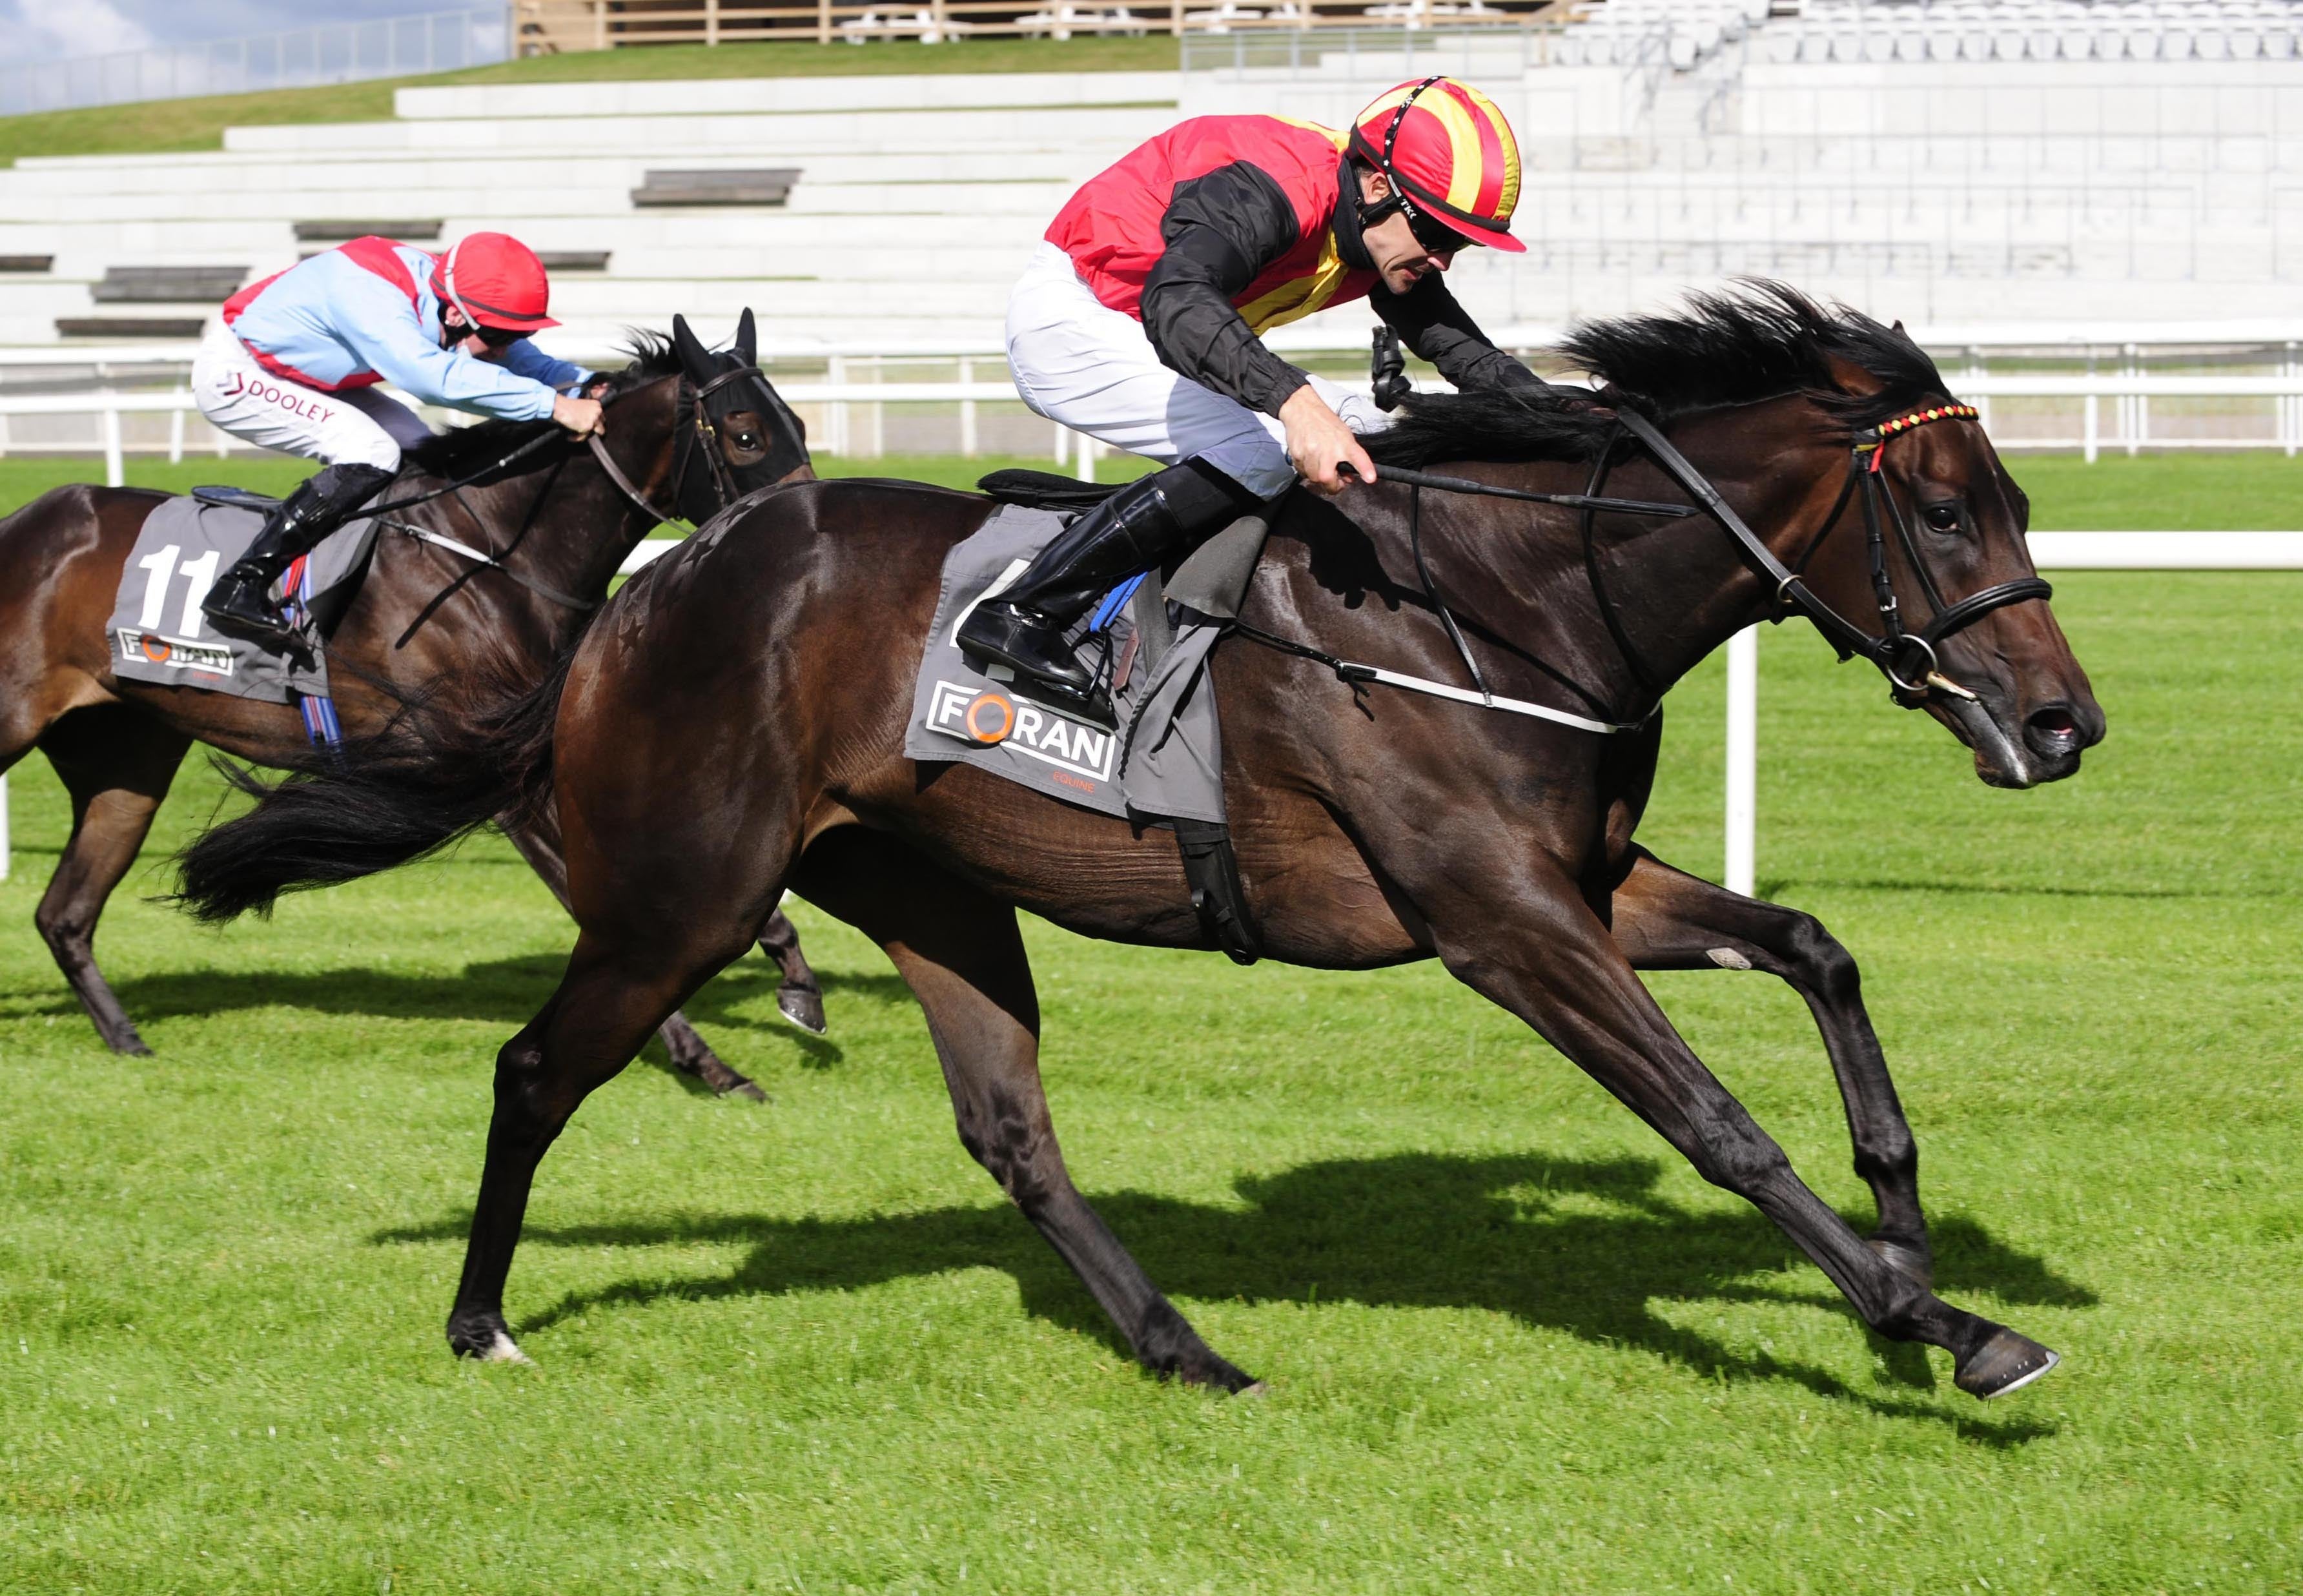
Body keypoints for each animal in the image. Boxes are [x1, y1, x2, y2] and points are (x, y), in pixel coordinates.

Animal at [0, 308, 829, 1096]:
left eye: (798, 422)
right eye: (745, 435)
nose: (804, 531)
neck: (493, 560)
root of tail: (25, 522)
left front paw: (791, 985)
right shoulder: (502, 782)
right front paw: (705, 1060)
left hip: (124, 762)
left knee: (64, 914)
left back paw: (126, 1039)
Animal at [179, 287, 2109, 1391]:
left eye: (2014, 500)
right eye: (1944, 514)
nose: (2061, 725)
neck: (1496, 598)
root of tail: (639, 602)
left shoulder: (1581, 885)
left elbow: (1813, 951)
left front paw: (1907, 1233)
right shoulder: (1497, 921)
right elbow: (1712, 1120)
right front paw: (1937, 1327)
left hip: (931, 892)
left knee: (1007, 1131)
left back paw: (1183, 1346)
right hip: (686, 893)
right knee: (532, 1069)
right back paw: (479, 1318)